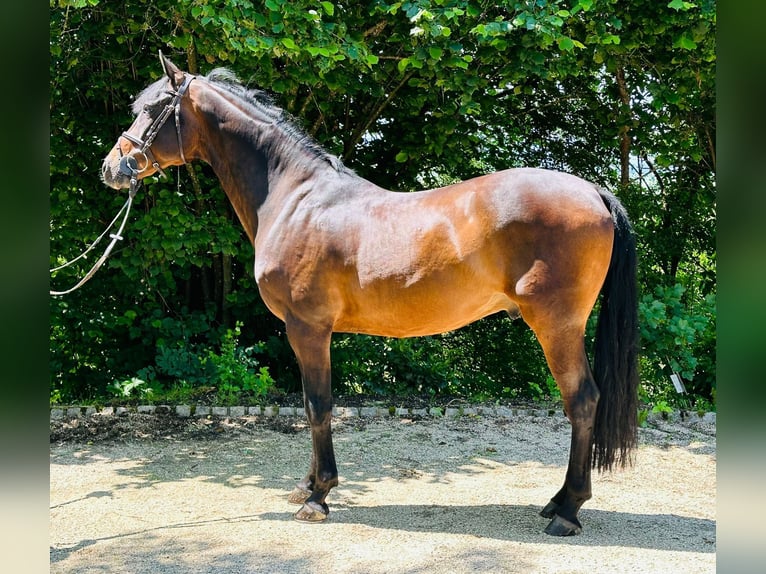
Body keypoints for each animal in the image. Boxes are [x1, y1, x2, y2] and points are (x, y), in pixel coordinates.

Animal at [103, 54, 640, 540]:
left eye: (152, 108)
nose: (112, 167)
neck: (295, 198)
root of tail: (594, 192)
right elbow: (310, 405)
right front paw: (307, 487)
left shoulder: (308, 328)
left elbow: (318, 405)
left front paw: (319, 496)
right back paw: (556, 501)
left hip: (557, 326)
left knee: (583, 401)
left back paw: (567, 511)